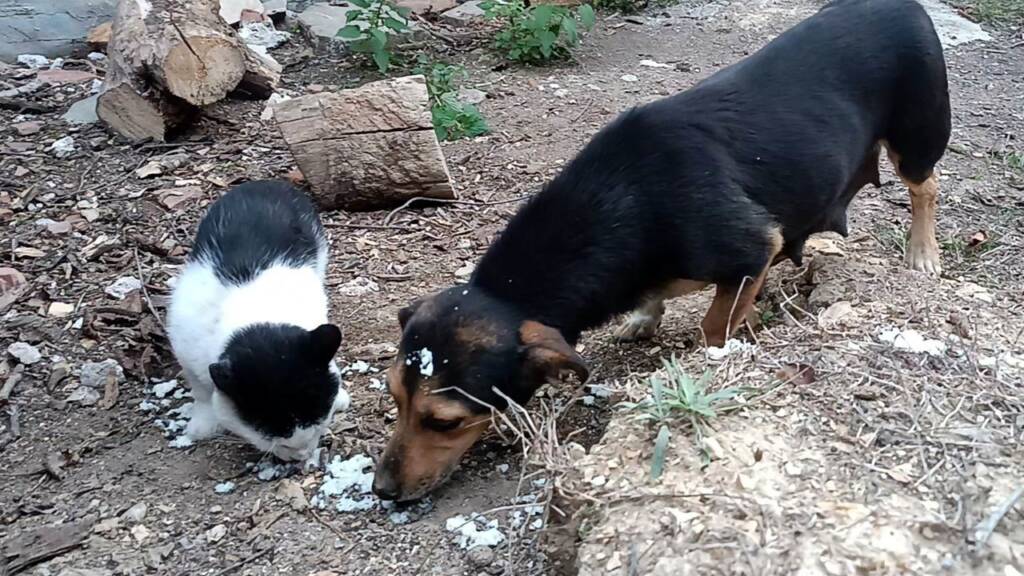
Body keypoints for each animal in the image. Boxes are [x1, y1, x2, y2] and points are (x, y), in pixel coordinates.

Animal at [164, 178, 348, 457]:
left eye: (317, 426)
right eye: (278, 440)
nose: (303, 454)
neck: (257, 309)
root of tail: (266, 183)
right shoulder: (185, 349)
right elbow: (202, 391)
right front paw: (202, 425)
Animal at [374, 0, 950, 498]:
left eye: (443, 422)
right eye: (394, 397)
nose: (382, 491)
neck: (620, 200)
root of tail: (902, 5)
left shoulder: (750, 248)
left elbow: (714, 326)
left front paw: (718, 351)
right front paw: (646, 316)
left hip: (918, 136)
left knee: (926, 187)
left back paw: (923, 253)